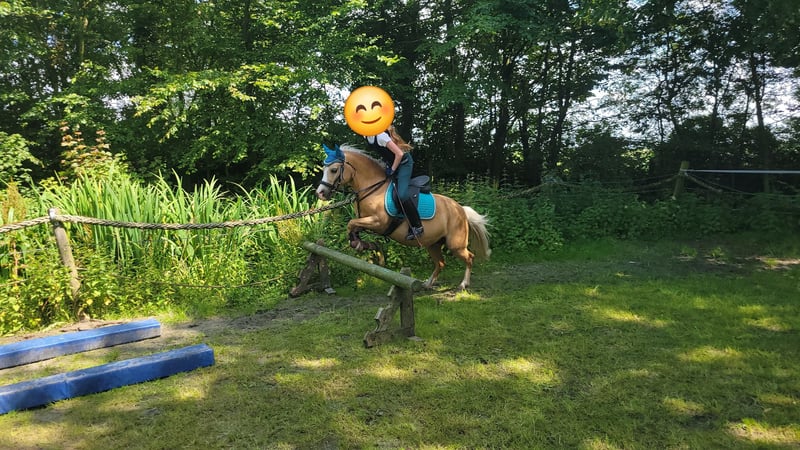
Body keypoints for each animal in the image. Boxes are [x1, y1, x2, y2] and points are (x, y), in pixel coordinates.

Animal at [315, 144, 491, 291]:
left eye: (333, 170)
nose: (320, 193)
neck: (373, 189)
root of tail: (460, 209)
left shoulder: (379, 222)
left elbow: (351, 223)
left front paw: (359, 244)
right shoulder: (367, 221)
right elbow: (353, 225)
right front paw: (360, 243)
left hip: (456, 244)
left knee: (469, 258)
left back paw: (463, 284)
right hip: (432, 244)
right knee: (440, 263)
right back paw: (427, 284)